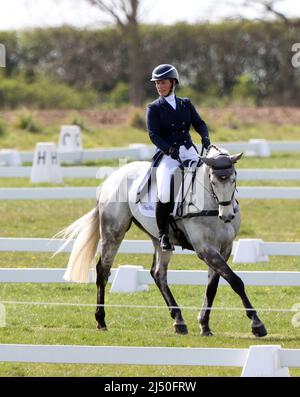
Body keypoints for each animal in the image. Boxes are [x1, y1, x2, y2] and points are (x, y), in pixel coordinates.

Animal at [55, 144, 268, 336]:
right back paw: (101, 321)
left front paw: (204, 325)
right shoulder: (205, 249)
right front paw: (257, 324)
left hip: (159, 239)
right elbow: (235, 281)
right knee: (103, 270)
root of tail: (113, 177)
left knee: (158, 273)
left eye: (234, 179)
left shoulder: (224, 248)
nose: (227, 216)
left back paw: (179, 321)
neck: (211, 204)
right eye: (213, 182)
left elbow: (213, 287)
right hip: (113, 232)